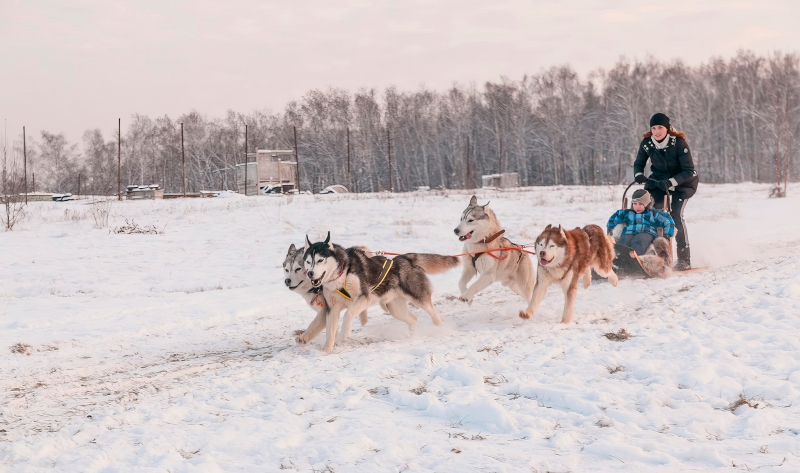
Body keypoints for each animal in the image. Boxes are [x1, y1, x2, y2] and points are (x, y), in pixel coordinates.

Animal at [304, 234, 460, 352]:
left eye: (320, 260)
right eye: (308, 261)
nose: (310, 273)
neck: (341, 275)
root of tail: (406, 258)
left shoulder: (364, 297)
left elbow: (349, 313)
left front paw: (344, 333)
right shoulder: (332, 309)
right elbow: (330, 332)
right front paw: (326, 350)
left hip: (418, 298)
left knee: (433, 314)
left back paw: (441, 328)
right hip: (395, 309)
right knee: (413, 319)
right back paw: (411, 336)